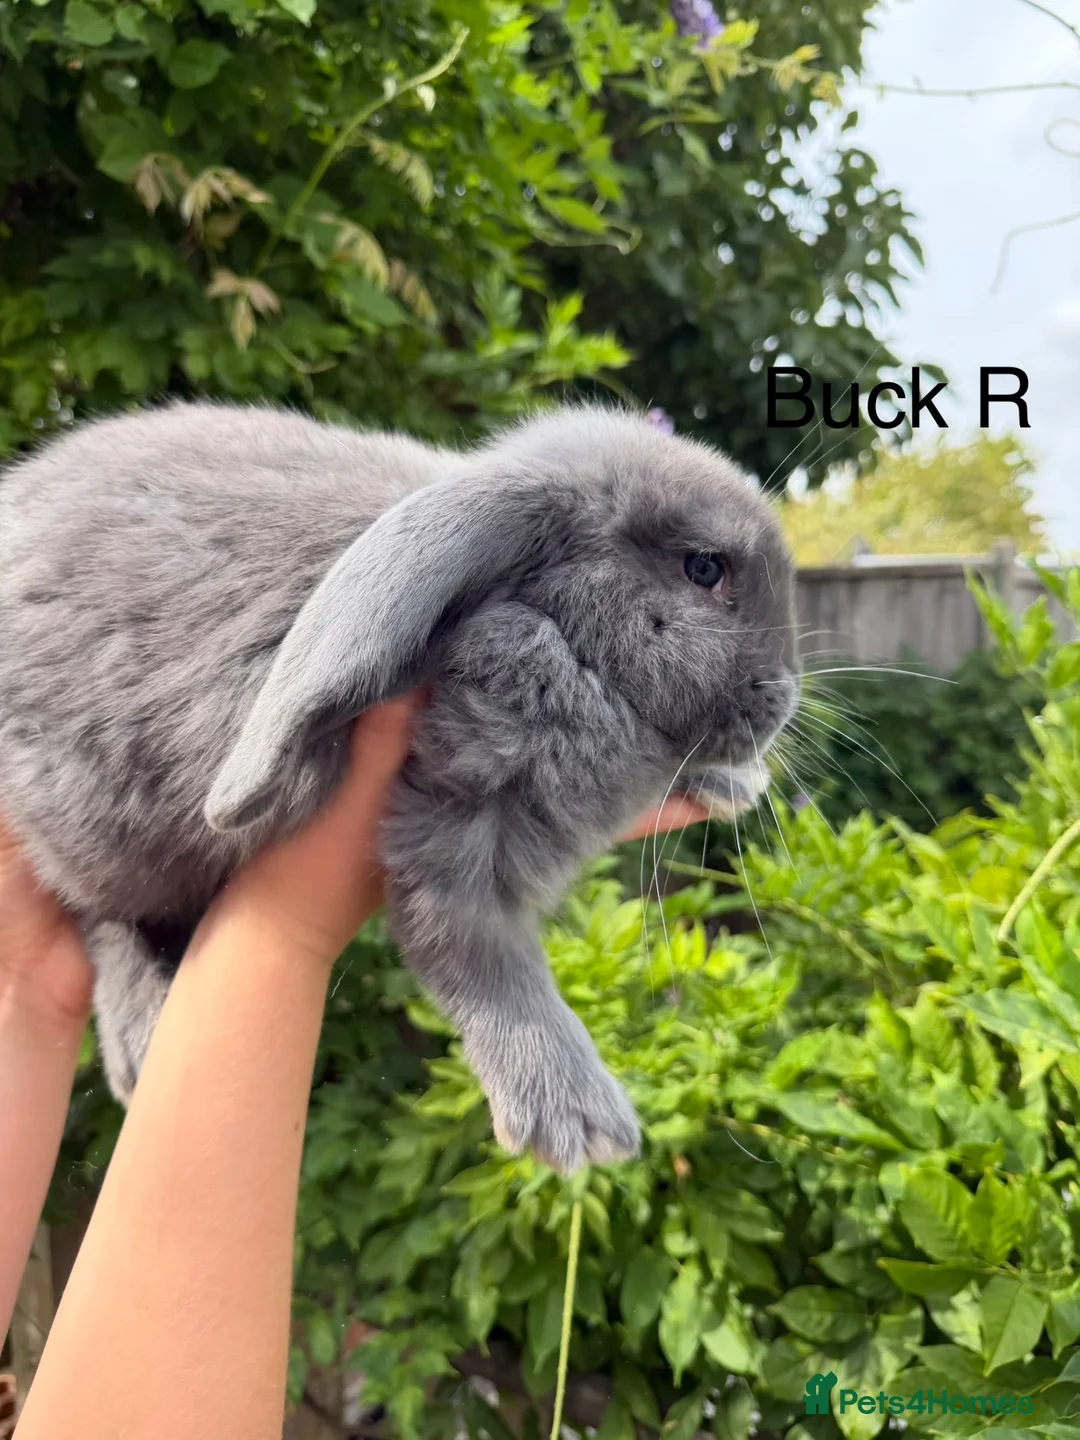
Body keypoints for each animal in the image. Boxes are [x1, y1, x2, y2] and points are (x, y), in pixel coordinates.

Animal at [0, 399, 799, 1173]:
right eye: (704, 569)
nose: (784, 698)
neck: (555, 625)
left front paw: (732, 779)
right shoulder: (459, 808)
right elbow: (469, 945)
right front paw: (577, 1119)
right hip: (98, 833)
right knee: (100, 918)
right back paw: (140, 1033)